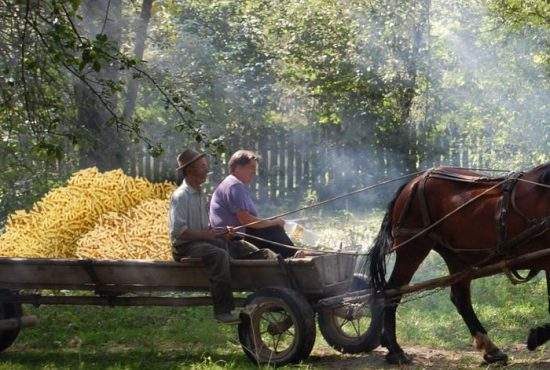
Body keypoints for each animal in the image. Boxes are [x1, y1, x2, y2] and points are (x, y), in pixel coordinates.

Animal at [364, 163, 548, 364]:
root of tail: (412, 183)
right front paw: (537, 335)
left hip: (456, 256)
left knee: (460, 298)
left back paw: (491, 349)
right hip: (413, 249)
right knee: (393, 291)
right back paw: (395, 350)